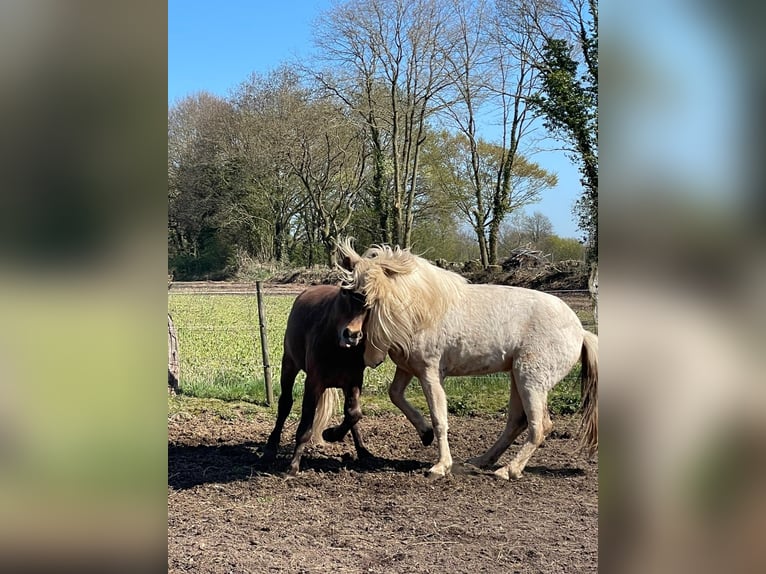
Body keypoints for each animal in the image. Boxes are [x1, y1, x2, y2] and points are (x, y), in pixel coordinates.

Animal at [260, 284, 372, 475]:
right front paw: (293, 465)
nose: (352, 335)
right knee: (285, 404)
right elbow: (305, 425)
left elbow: (354, 414)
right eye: (345, 292)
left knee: (351, 415)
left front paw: (331, 434)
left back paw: (363, 451)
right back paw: (270, 448)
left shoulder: (354, 381)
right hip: (289, 364)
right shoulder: (313, 383)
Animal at [337, 239, 598, 480]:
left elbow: (439, 418)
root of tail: (580, 331)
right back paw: (482, 461)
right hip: (517, 377)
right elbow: (395, 395)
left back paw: (509, 470)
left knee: (539, 426)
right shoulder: (408, 368)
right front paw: (425, 433)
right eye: (349, 293)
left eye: (366, 296)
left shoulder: (430, 373)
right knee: (516, 422)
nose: (349, 335)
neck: (420, 310)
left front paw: (440, 466)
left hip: (531, 380)